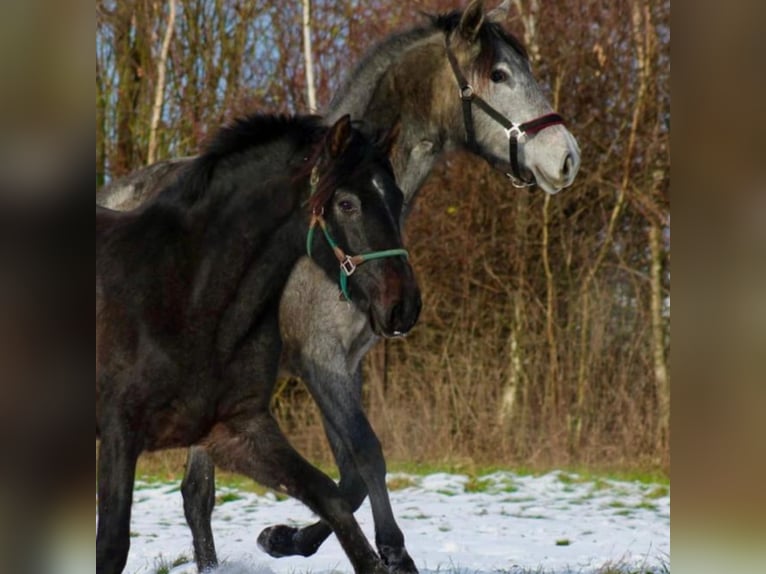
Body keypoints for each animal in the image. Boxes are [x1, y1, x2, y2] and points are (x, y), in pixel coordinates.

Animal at [97, 113, 424, 574]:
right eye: (346, 203)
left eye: (396, 197)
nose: (403, 306)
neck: (187, 295)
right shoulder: (119, 432)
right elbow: (111, 546)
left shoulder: (238, 429)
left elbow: (331, 497)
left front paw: (280, 538)